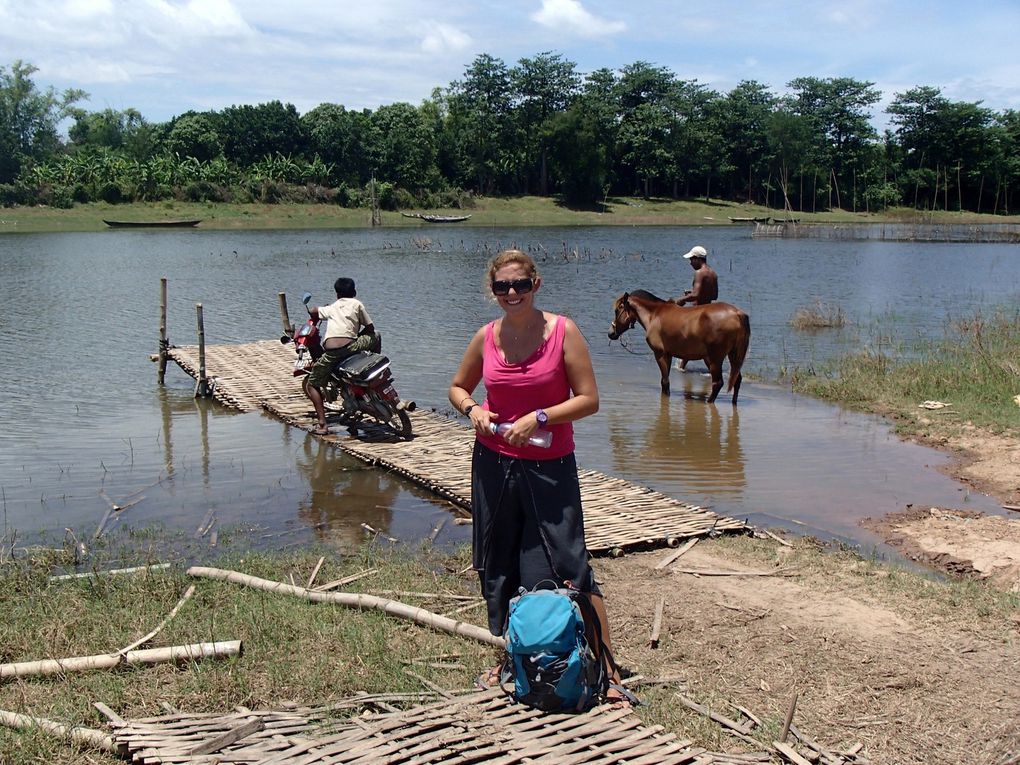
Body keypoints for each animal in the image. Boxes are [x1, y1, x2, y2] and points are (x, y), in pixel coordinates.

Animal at [603, 289, 750, 408]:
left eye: (617, 310)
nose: (611, 333)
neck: (654, 315)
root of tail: (737, 314)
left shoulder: (660, 354)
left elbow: (665, 382)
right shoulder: (669, 355)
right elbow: (665, 382)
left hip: (714, 359)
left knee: (718, 383)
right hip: (732, 356)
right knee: (737, 380)